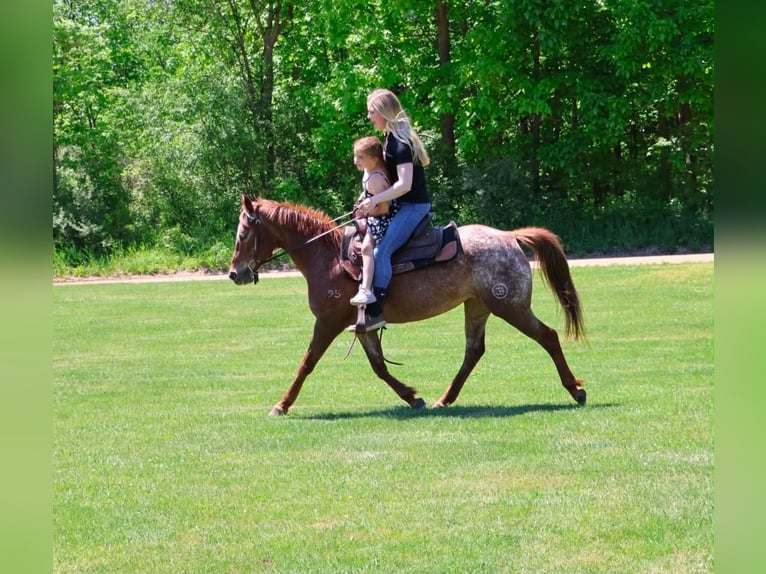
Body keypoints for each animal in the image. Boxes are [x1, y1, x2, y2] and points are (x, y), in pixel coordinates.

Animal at [228, 195, 586, 416]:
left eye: (244, 234)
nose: (234, 273)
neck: (327, 258)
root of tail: (510, 237)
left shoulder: (328, 322)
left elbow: (307, 363)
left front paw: (282, 404)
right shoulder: (362, 327)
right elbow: (379, 367)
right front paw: (413, 397)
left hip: (510, 306)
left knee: (548, 337)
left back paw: (575, 389)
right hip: (478, 306)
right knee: (474, 351)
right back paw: (445, 399)